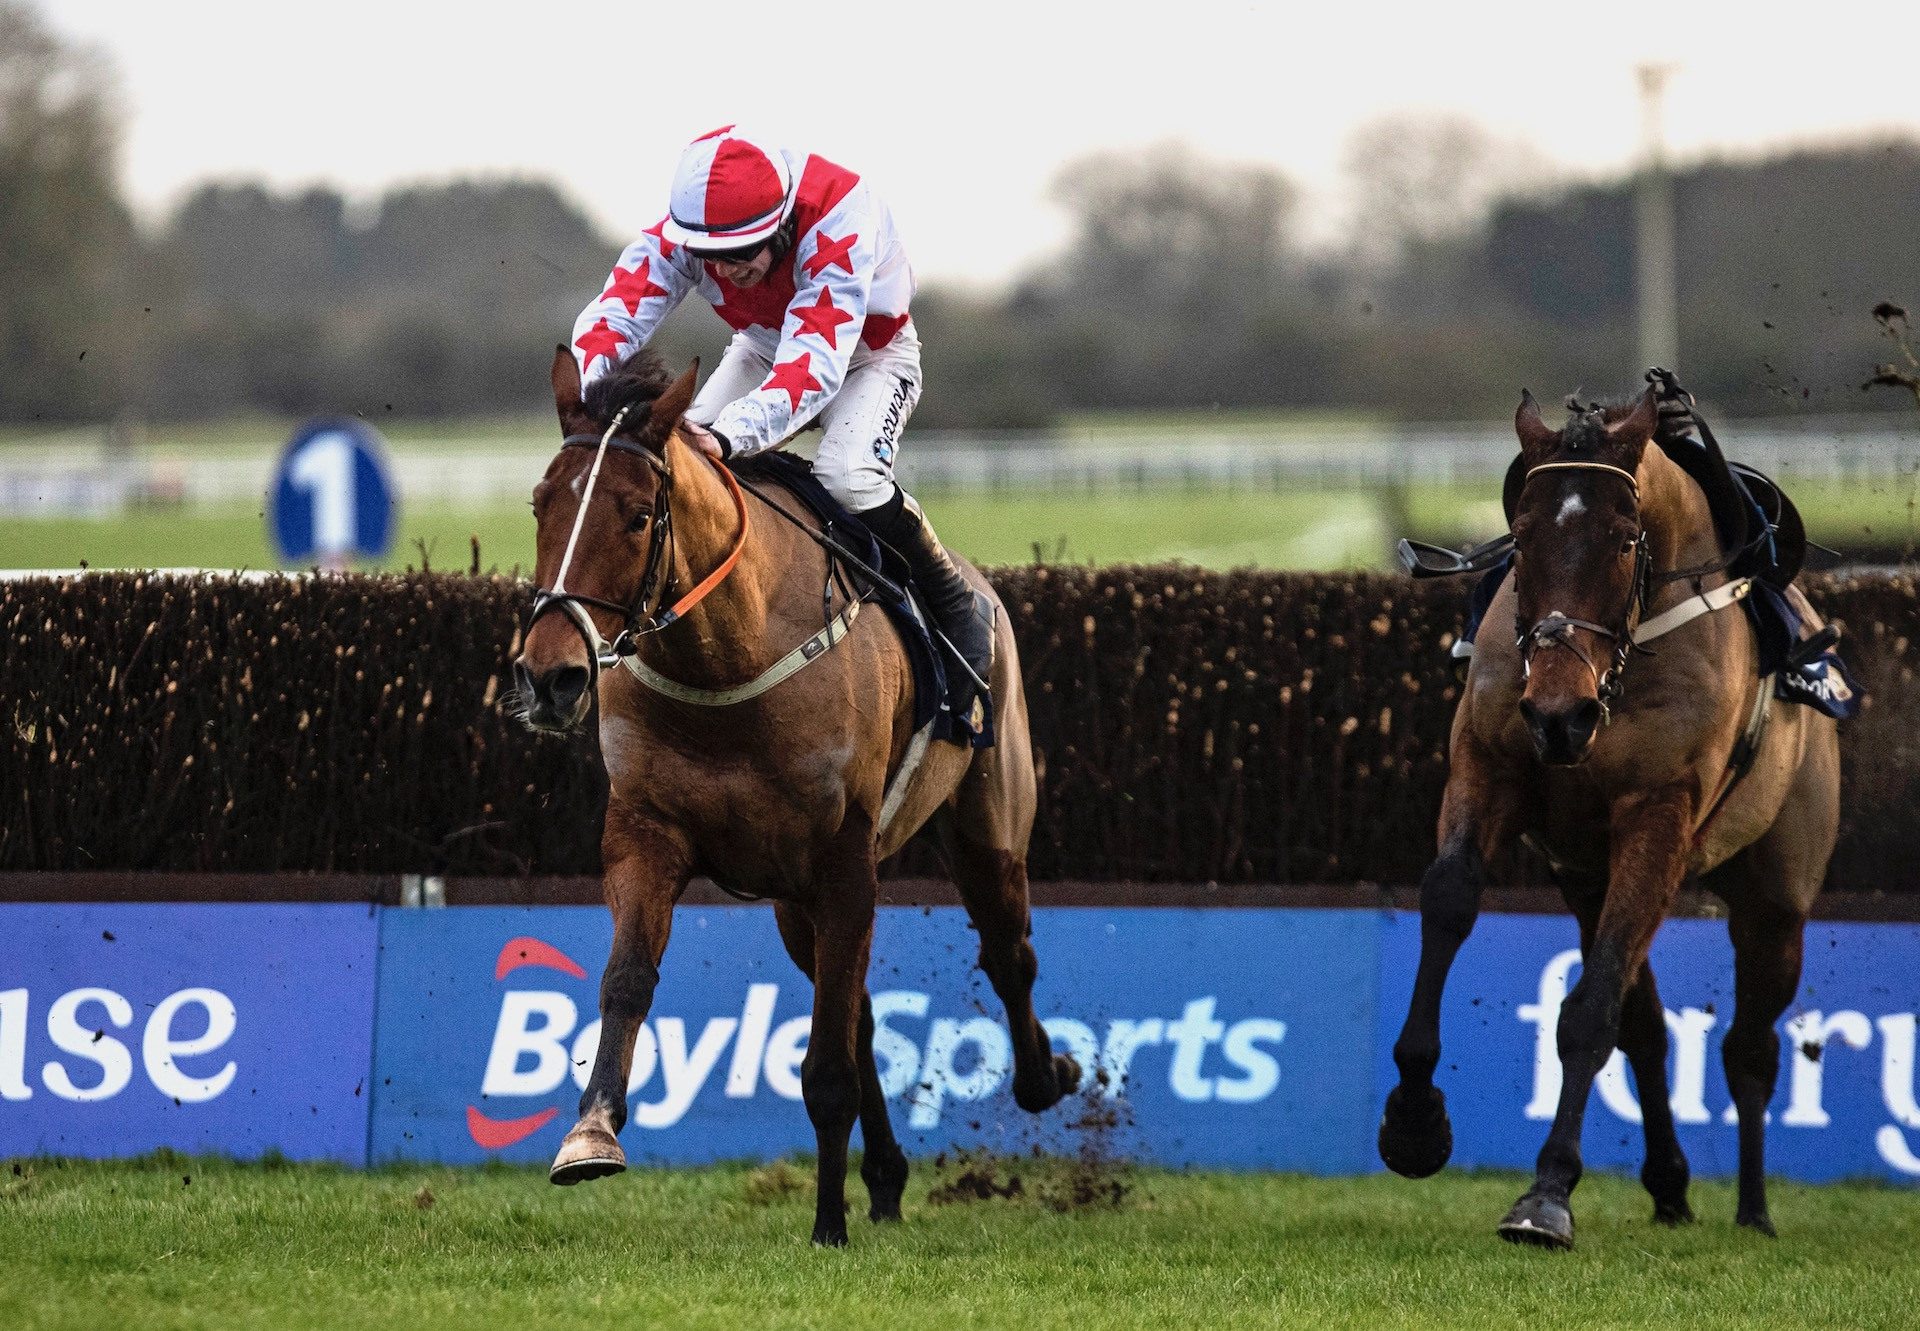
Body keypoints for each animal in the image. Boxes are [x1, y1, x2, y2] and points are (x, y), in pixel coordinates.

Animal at [510, 347, 1082, 1244]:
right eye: (541, 503)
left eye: (637, 517)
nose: (550, 676)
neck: (727, 660)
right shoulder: (647, 832)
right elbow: (628, 978)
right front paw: (591, 1132)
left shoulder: (844, 859)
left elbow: (828, 1062)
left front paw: (827, 1224)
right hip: (790, 899)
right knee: (859, 1007)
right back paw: (884, 1176)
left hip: (988, 823)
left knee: (1006, 953)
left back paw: (1041, 1074)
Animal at [1382, 382, 1843, 1244]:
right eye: (1522, 534)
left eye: (1626, 541)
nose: (1559, 712)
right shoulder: (1490, 764)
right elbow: (1450, 899)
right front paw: (1415, 1119)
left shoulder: (1659, 813)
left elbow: (1590, 1008)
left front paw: (1546, 1192)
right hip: (1588, 876)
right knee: (1650, 1028)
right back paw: (1668, 1183)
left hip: (1777, 894)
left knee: (1749, 1047)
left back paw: (1754, 1208)